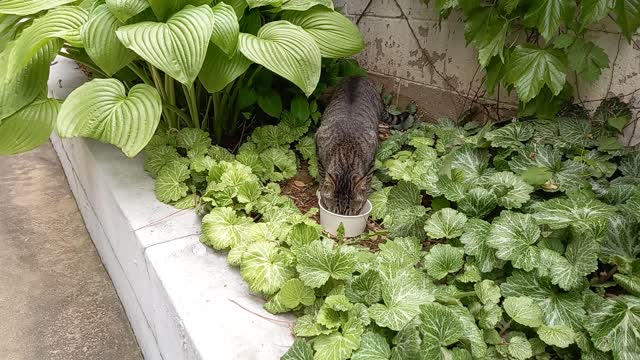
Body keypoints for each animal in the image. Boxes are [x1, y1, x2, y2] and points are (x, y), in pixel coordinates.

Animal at [316, 76, 410, 215]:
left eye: (350, 214)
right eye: (334, 212)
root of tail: (357, 76)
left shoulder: (372, 155)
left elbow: (368, 178)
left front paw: (365, 193)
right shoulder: (318, 145)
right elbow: (322, 173)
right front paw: (321, 188)